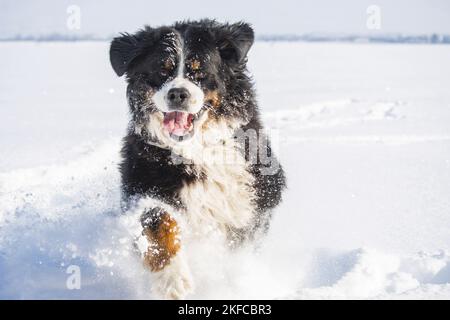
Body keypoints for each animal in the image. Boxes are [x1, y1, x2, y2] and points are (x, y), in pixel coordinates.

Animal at [109, 19, 284, 300]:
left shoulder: (253, 199)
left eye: (199, 71)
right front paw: (172, 278)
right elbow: (158, 221)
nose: (177, 94)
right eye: (162, 70)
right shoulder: (142, 185)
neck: (197, 148)